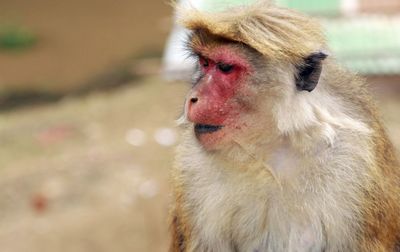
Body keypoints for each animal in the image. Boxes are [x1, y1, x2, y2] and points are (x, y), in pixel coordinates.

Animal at [168, 0, 400, 251]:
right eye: (205, 63)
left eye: (226, 68)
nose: (193, 97)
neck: (269, 151)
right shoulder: (192, 169)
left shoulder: (355, 168)